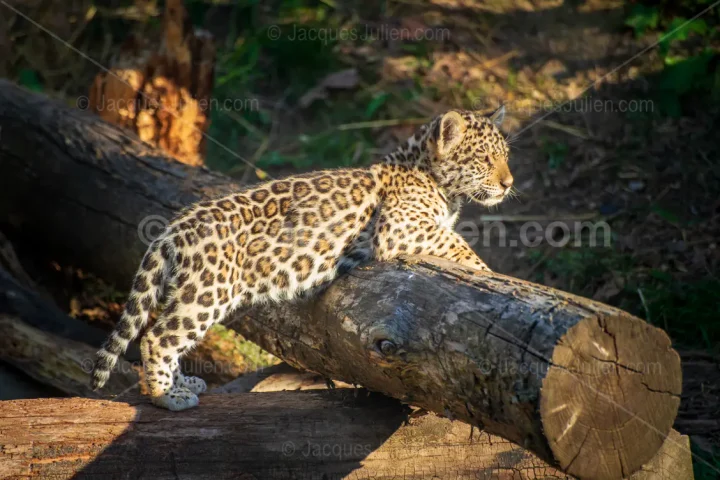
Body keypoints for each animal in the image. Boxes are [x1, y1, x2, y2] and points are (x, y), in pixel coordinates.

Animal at [91, 107, 514, 411]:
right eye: (484, 158)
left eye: (505, 157)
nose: (509, 183)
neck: (438, 183)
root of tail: (176, 225)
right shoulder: (401, 226)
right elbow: (457, 243)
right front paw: (487, 272)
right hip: (208, 291)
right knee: (158, 337)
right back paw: (167, 396)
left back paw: (184, 383)